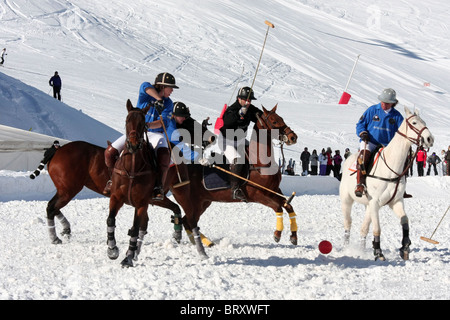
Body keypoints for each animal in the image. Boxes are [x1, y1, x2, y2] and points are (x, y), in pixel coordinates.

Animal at [166, 104, 298, 258]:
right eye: (274, 121)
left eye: (281, 118)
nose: (293, 137)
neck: (260, 161)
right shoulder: (257, 195)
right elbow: (278, 207)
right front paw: (277, 234)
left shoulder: (274, 191)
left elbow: (288, 206)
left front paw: (294, 236)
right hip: (190, 201)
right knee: (188, 220)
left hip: (203, 202)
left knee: (187, 220)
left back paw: (205, 242)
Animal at [342, 106, 432, 262]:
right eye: (414, 122)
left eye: (424, 122)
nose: (429, 139)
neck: (391, 168)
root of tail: (349, 158)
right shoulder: (375, 202)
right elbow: (377, 228)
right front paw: (378, 252)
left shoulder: (396, 201)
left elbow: (405, 220)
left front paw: (405, 247)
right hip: (347, 200)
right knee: (348, 223)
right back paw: (347, 248)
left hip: (367, 205)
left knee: (363, 228)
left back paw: (361, 249)